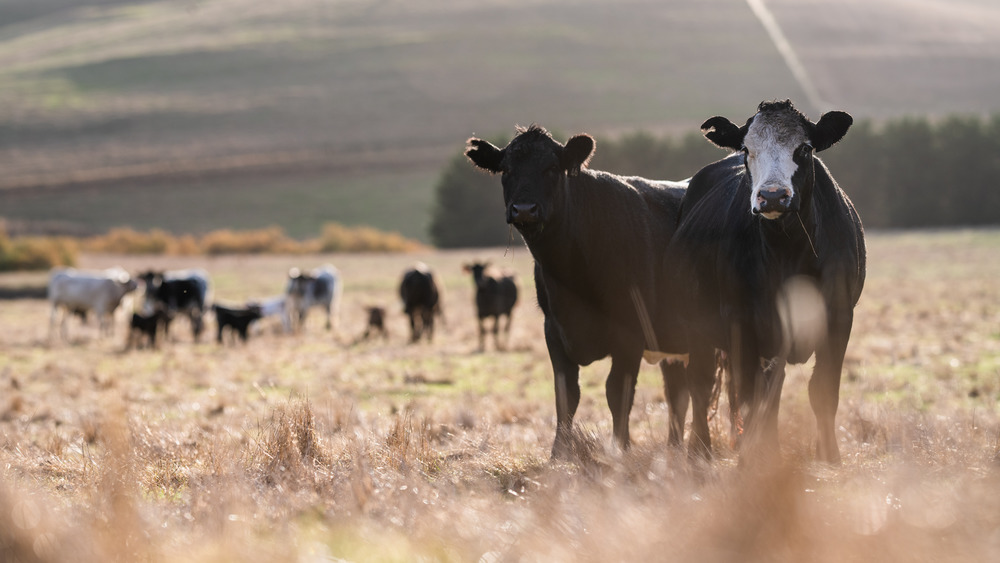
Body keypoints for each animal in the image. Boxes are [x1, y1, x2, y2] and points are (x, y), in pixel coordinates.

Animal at [464, 124, 708, 458]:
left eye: (552, 169)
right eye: (507, 170)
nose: (524, 209)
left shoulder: (630, 332)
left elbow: (617, 391)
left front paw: (621, 449)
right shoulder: (554, 331)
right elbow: (566, 394)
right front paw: (559, 453)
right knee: (678, 394)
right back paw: (675, 451)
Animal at [664, 101, 868, 468]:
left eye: (804, 148)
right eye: (747, 149)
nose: (772, 196)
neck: (787, 250)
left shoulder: (838, 316)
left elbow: (822, 390)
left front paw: (830, 457)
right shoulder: (741, 322)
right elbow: (749, 396)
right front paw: (753, 460)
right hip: (697, 327)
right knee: (700, 385)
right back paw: (699, 451)